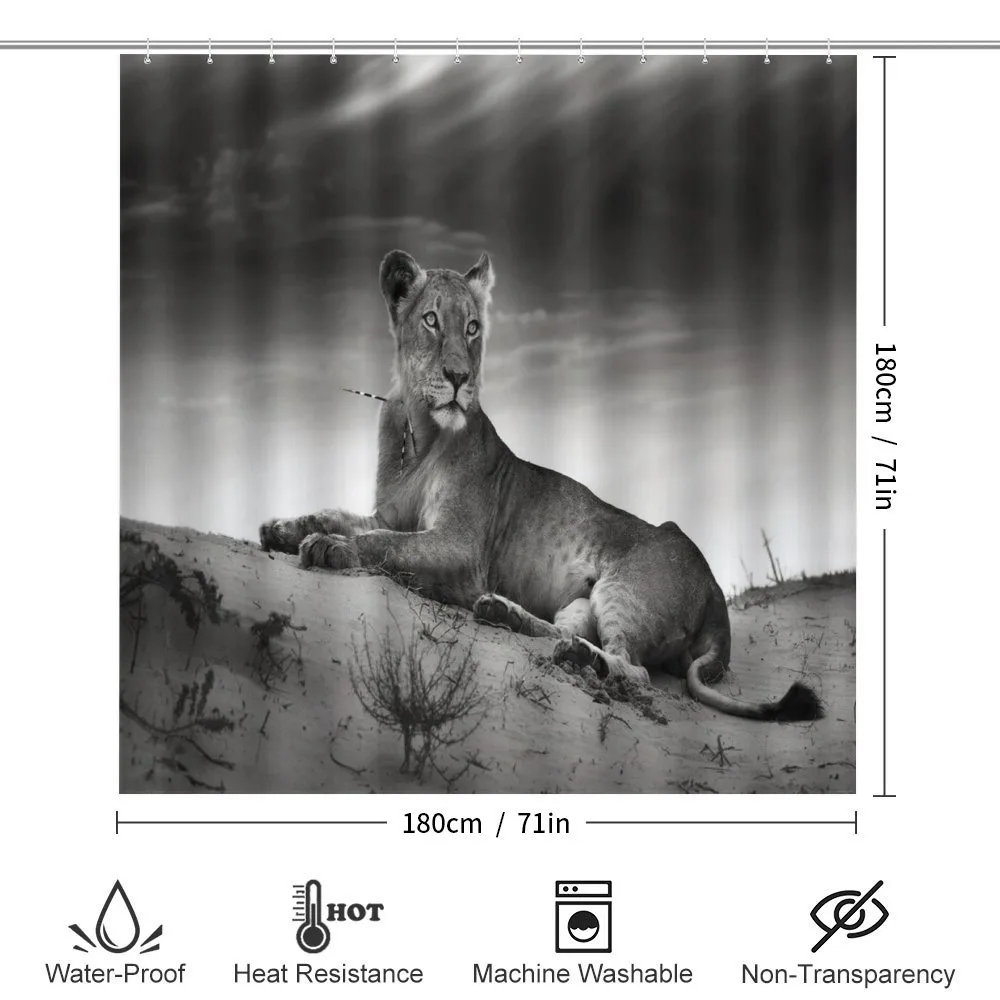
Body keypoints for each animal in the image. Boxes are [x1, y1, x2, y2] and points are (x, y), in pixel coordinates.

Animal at [260, 250, 822, 722]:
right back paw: (505, 614)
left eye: (473, 327)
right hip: (581, 602)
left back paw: (579, 658)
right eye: (431, 320)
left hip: (624, 591)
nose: (460, 378)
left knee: (635, 671)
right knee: (564, 630)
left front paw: (331, 548)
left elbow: (382, 544)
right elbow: (338, 514)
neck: (417, 431)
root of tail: (716, 593)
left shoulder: (462, 549)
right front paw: (283, 528)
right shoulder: (387, 513)